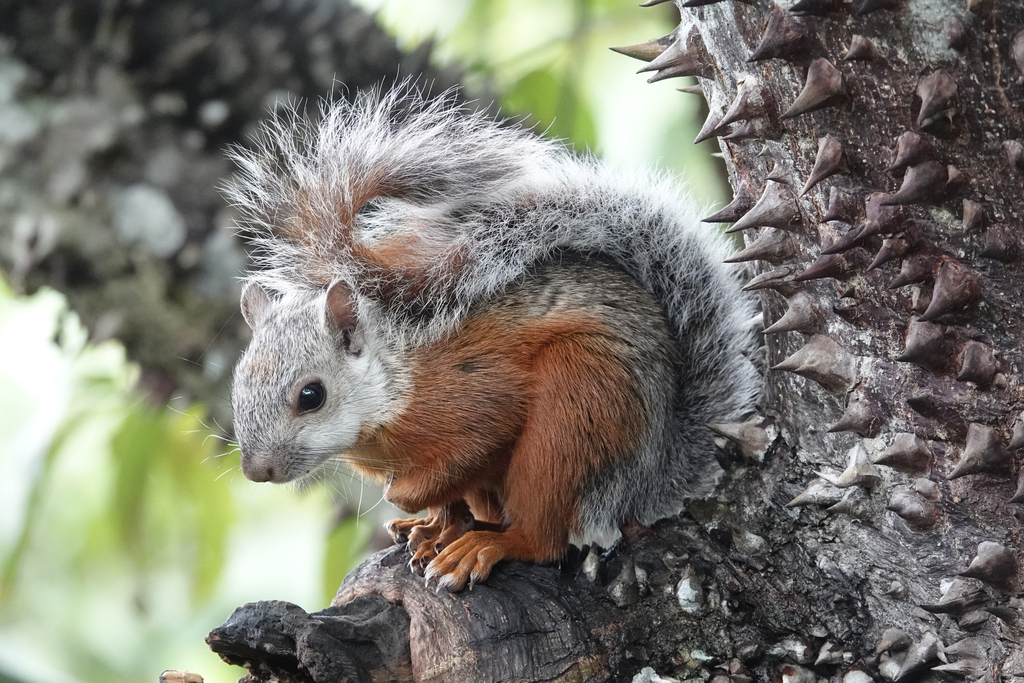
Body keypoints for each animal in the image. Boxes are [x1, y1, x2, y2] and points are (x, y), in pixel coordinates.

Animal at [230, 82, 761, 589]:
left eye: (311, 395)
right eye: (237, 389)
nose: (257, 473)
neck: (389, 389)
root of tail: (648, 482)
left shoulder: (473, 392)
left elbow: (481, 439)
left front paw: (406, 498)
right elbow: (449, 497)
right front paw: (431, 522)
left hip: (576, 417)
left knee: (542, 537)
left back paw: (486, 546)